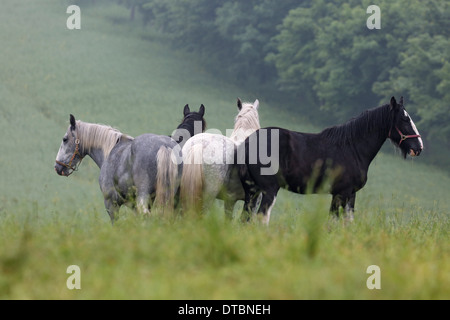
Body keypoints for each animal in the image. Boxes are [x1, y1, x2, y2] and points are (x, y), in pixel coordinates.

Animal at [237, 96, 424, 224]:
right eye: (405, 119)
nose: (418, 147)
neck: (352, 148)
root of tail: (248, 142)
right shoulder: (341, 194)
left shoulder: (349, 195)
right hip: (269, 190)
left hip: (253, 191)